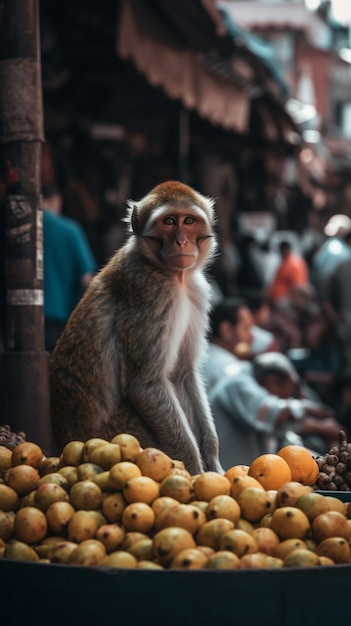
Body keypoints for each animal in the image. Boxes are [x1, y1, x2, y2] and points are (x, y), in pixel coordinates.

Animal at [48, 180, 224, 472]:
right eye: (168, 222)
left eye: (188, 221)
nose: (181, 241)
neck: (174, 277)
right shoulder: (150, 293)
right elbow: (146, 384)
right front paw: (194, 470)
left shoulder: (197, 292)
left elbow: (184, 373)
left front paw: (212, 458)